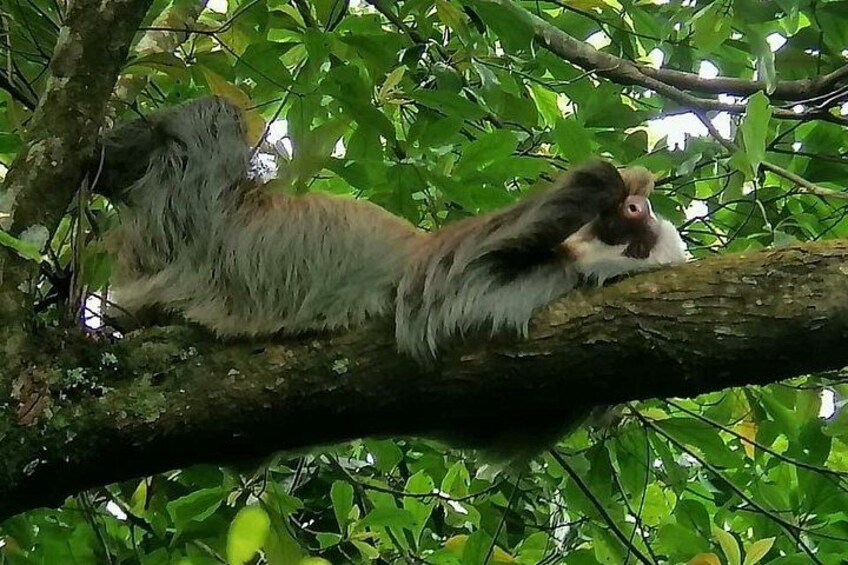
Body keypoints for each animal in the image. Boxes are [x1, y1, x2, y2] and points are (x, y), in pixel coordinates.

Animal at [95, 96, 686, 361]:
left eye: (639, 238)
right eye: (639, 220)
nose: (638, 209)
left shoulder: (478, 272)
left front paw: (610, 180)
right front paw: (630, 177)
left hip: (192, 225)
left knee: (206, 125)